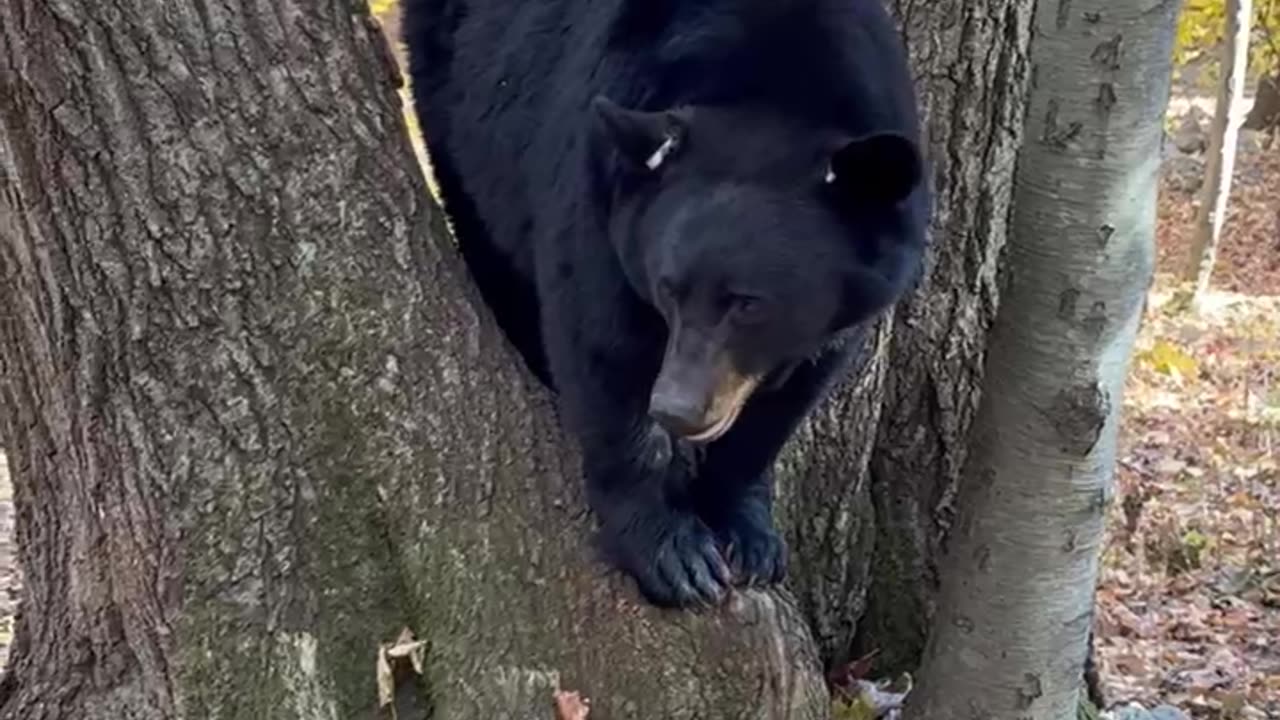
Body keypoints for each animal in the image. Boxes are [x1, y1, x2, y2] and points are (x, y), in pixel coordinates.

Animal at [407, 0, 931, 604]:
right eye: (667, 287)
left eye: (749, 303)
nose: (677, 409)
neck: (771, 89)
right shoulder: (602, 185)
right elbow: (600, 341)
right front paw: (671, 552)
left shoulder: (852, 303)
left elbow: (789, 399)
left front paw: (749, 532)